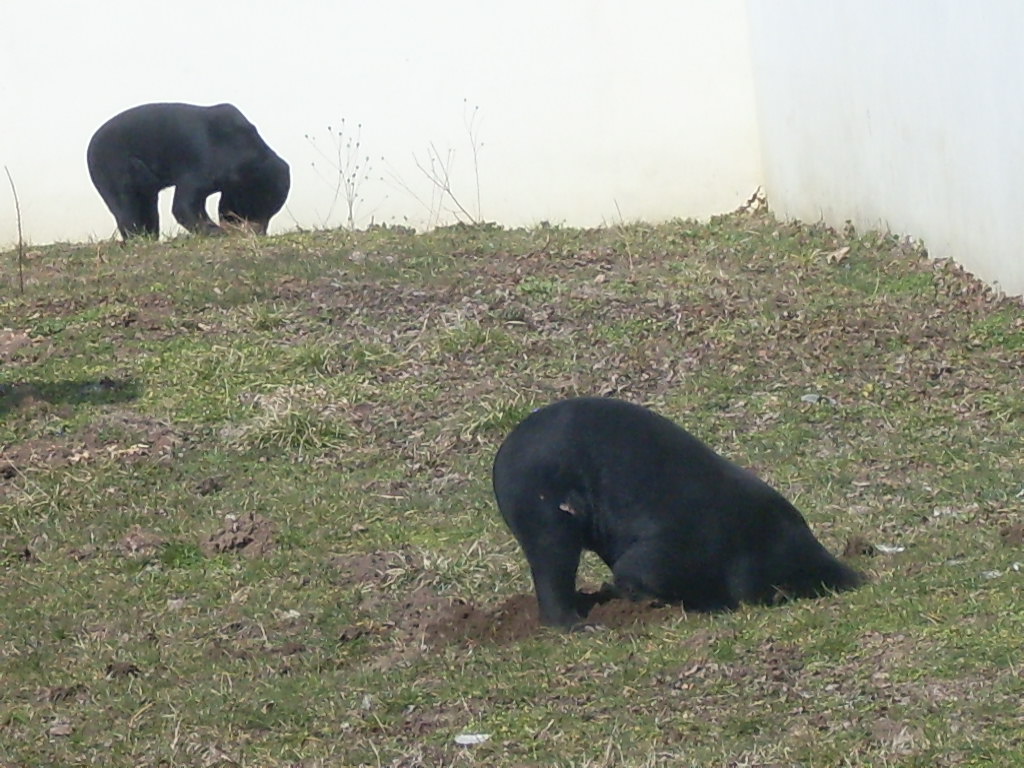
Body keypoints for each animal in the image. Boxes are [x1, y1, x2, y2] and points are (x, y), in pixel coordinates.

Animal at [87, 102, 290, 240]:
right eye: (252, 209)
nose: (260, 233)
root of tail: (90, 146)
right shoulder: (202, 166)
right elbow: (184, 206)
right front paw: (217, 232)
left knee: (148, 210)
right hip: (111, 167)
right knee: (127, 208)